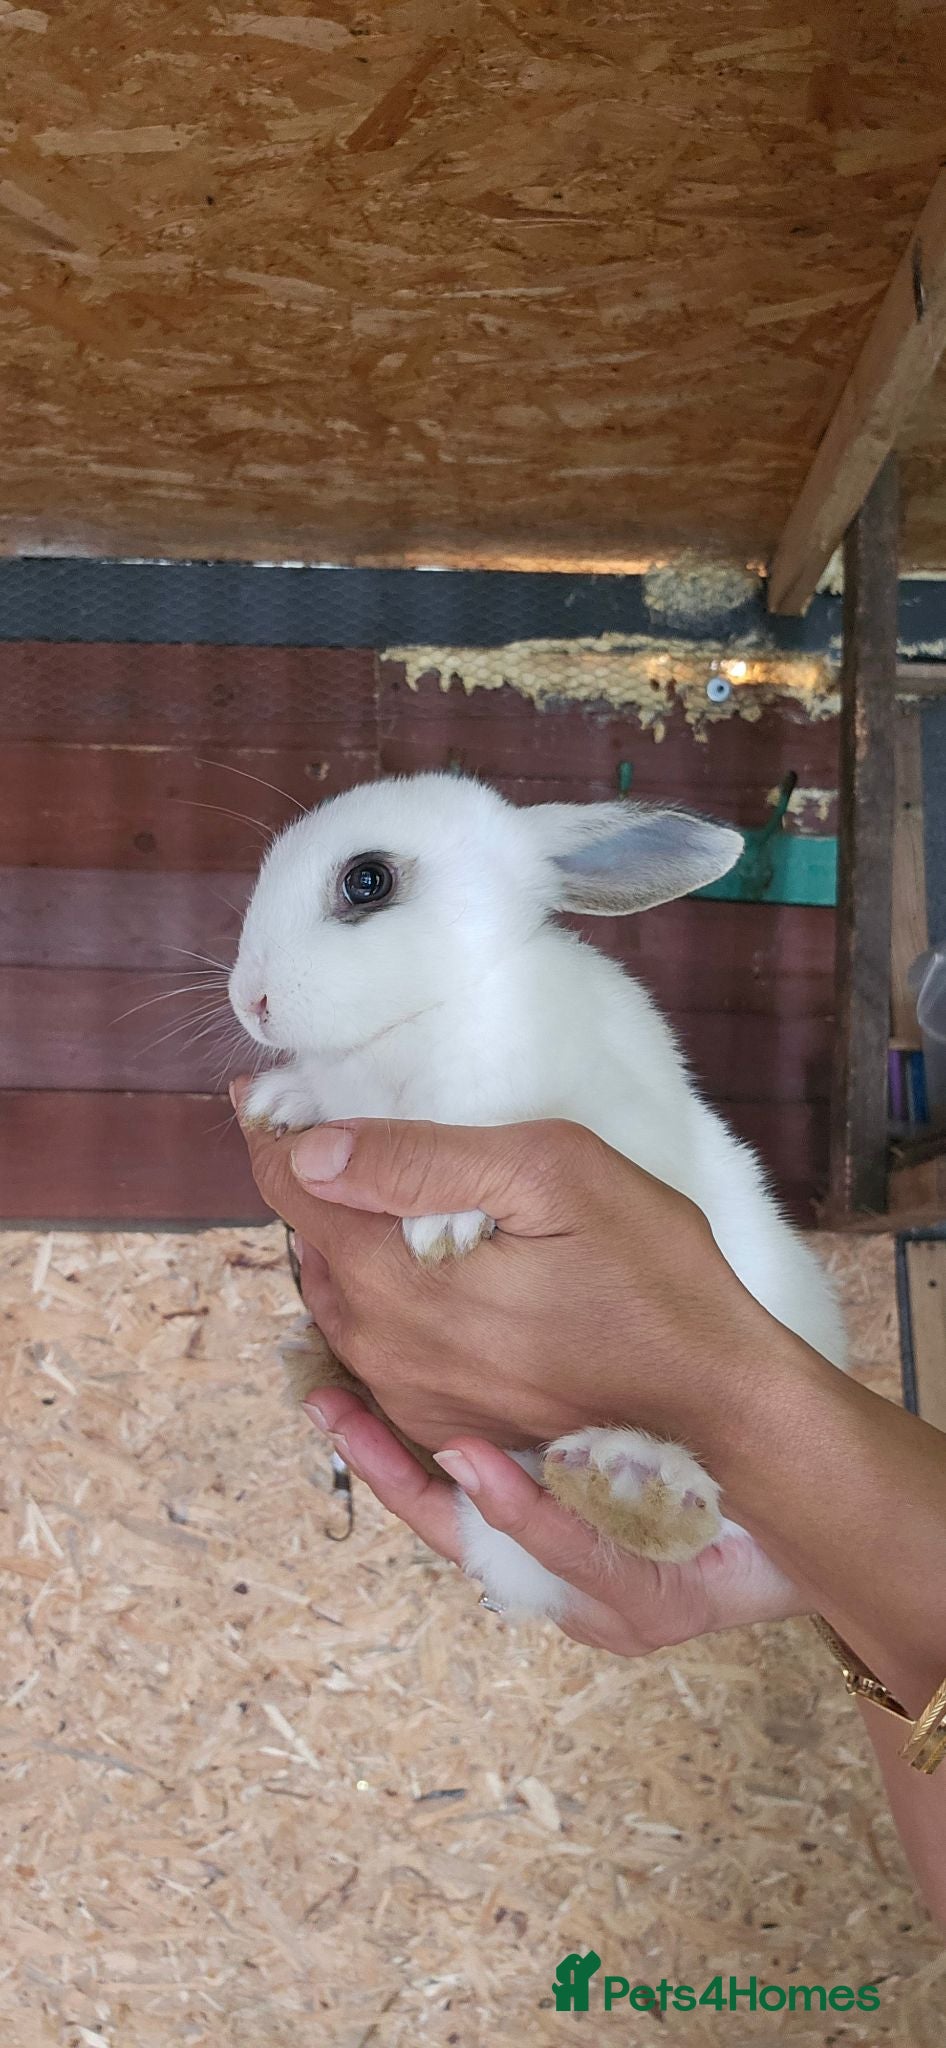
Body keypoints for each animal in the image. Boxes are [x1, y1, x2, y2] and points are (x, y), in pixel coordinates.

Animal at [228, 771, 847, 1620]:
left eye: (367, 880)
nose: (248, 1000)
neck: (444, 1004)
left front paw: (444, 1222)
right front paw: (280, 1101)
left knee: (688, 1527)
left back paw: (632, 1486)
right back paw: (318, 1361)